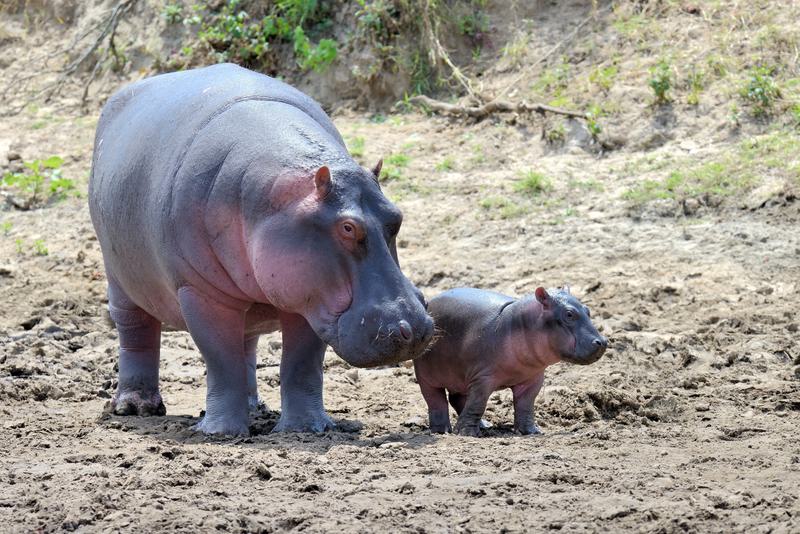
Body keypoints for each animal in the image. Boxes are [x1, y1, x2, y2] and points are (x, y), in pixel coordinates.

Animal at [89, 64, 434, 436]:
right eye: (347, 227)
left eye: (396, 216)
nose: (414, 328)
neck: (279, 199)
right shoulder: (200, 291)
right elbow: (220, 359)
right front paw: (220, 433)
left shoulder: (310, 295)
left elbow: (300, 364)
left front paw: (307, 429)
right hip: (119, 277)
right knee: (136, 333)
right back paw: (135, 407)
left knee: (246, 344)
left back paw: (255, 407)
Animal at [414, 286, 607, 436]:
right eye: (569, 314)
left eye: (588, 310)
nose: (603, 342)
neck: (522, 322)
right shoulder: (483, 378)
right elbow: (477, 403)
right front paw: (466, 433)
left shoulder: (532, 379)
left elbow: (526, 405)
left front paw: (531, 431)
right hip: (427, 378)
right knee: (436, 401)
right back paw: (442, 430)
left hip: (461, 376)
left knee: (457, 398)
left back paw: (485, 425)